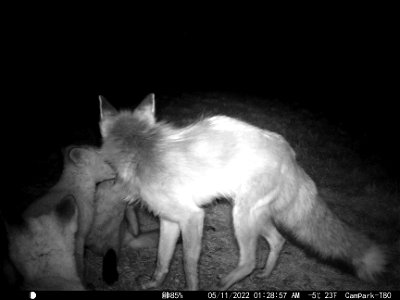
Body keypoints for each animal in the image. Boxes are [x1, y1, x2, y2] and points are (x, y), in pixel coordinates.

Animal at [99, 94, 388, 290]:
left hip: (241, 216)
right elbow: (162, 260)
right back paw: (265, 274)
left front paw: (192, 288)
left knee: (249, 260)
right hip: (253, 216)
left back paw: (226, 283)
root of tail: (290, 154)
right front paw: (153, 284)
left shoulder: (192, 217)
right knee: (278, 240)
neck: (142, 150)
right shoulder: (169, 220)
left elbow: (188, 264)